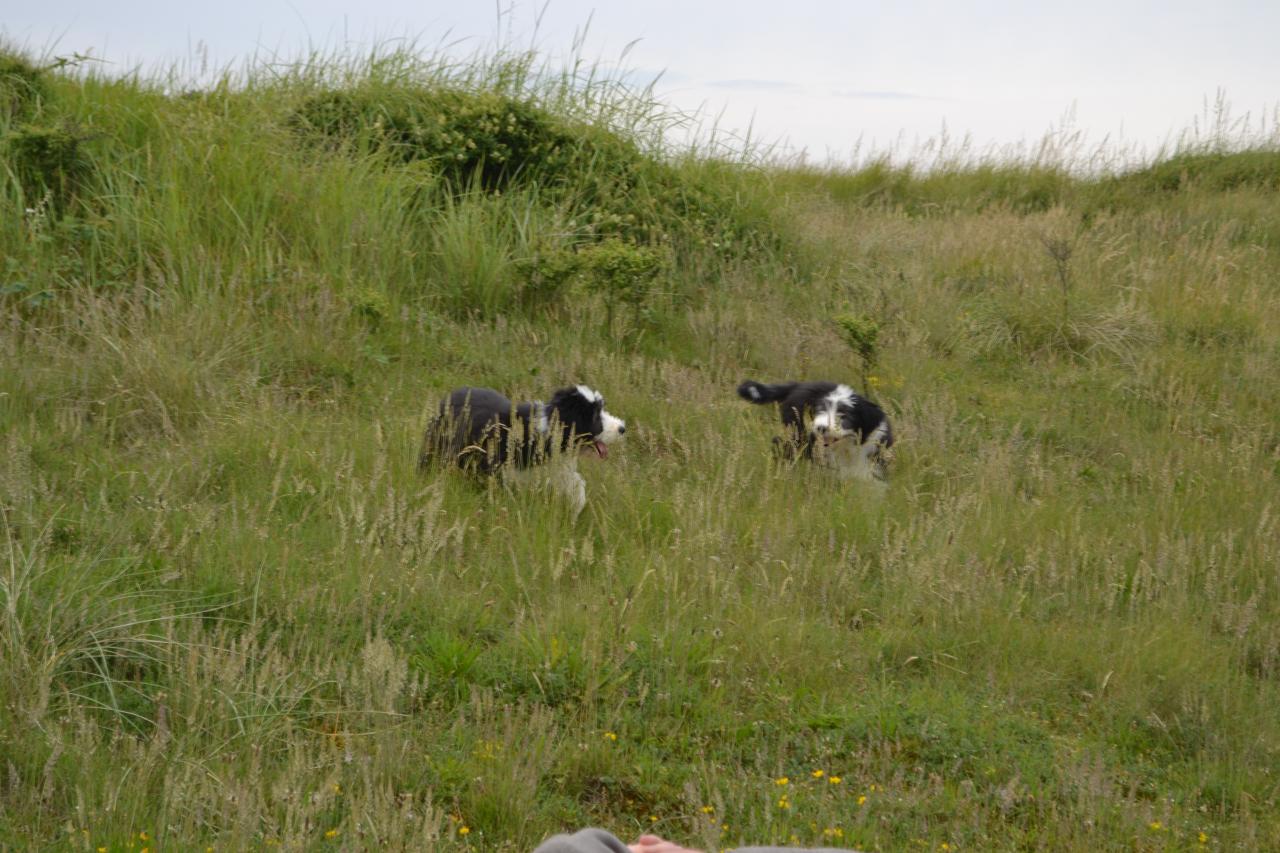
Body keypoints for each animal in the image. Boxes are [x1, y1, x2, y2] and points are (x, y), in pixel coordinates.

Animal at [742, 376, 890, 479]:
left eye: (844, 415)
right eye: (820, 410)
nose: (821, 427)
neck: (847, 448)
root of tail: (800, 384)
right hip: (795, 433)